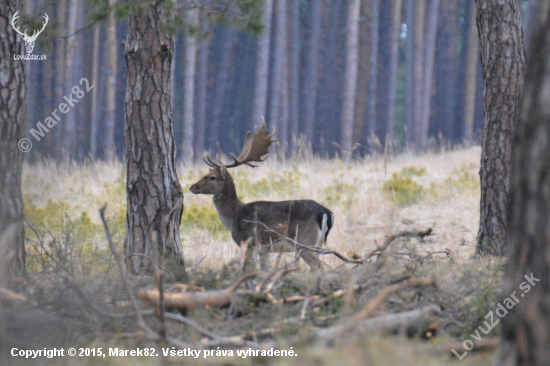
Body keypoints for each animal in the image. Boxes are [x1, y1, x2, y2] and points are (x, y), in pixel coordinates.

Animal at [190, 124, 336, 270]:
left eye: (212, 177)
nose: (192, 187)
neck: (233, 217)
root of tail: (326, 213)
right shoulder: (265, 251)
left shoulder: (249, 242)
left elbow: (249, 270)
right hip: (317, 244)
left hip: (305, 241)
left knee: (319, 267)